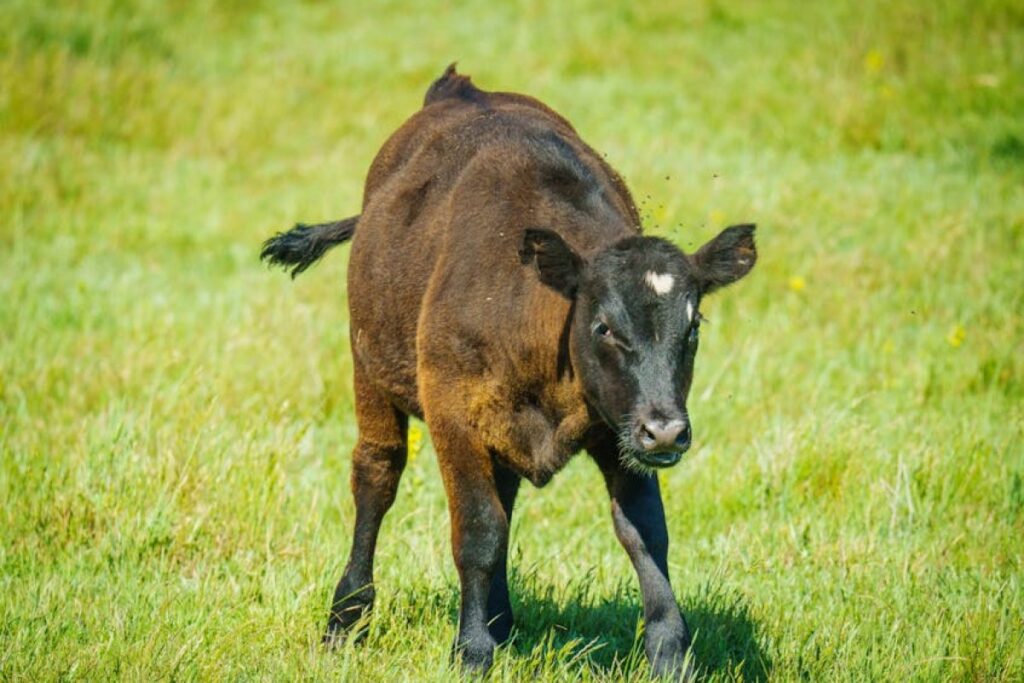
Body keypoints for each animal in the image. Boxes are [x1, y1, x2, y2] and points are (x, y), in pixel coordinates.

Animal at [261, 64, 757, 678]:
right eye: (603, 327)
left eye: (693, 327)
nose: (665, 431)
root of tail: (457, 88)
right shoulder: (453, 415)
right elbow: (478, 530)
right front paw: (471, 652)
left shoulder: (618, 428)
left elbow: (645, 532)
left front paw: (670, 653)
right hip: (367, 367)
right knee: (377, 475)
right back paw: (347, 617)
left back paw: (499, 620)